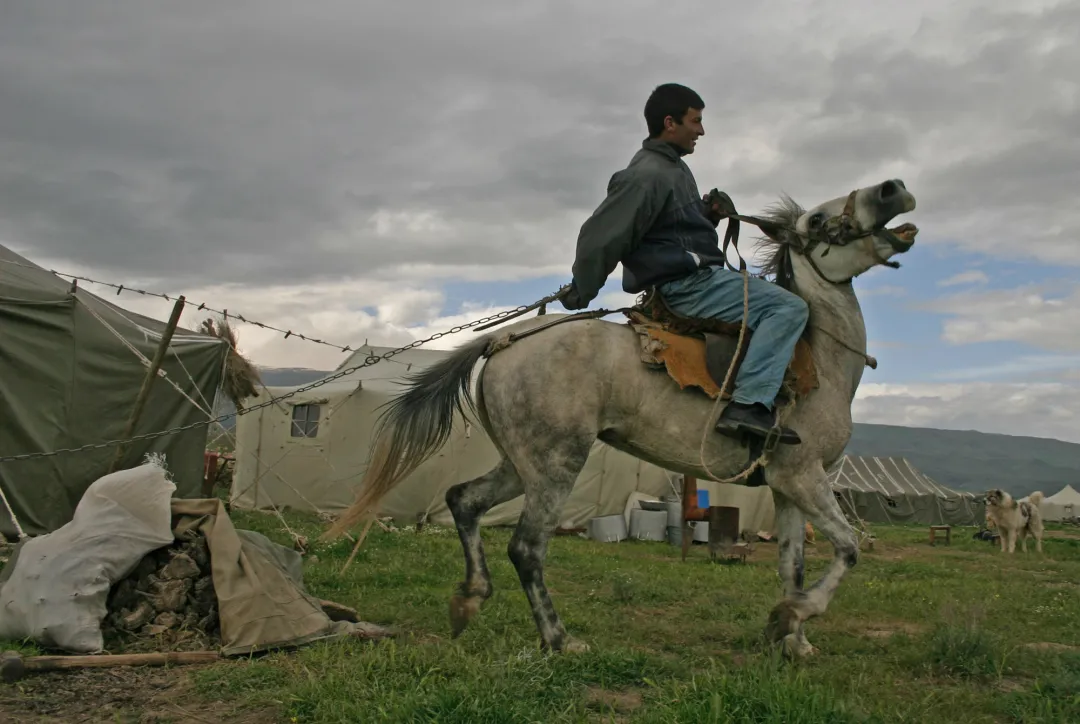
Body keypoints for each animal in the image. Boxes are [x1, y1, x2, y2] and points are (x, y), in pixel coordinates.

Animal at [321, 180, 920, 657]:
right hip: (557, 464)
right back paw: (559, 639)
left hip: (523, 462)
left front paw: (792, 639)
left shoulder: (785, 485)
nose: (892, 189)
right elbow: (848, 548)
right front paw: (795, 618)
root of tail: (504, 341)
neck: (819, 358)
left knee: (463, 501)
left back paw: (470, 601)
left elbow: (791, 567)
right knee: (527, 547)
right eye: (817, 219)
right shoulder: (803, 476)